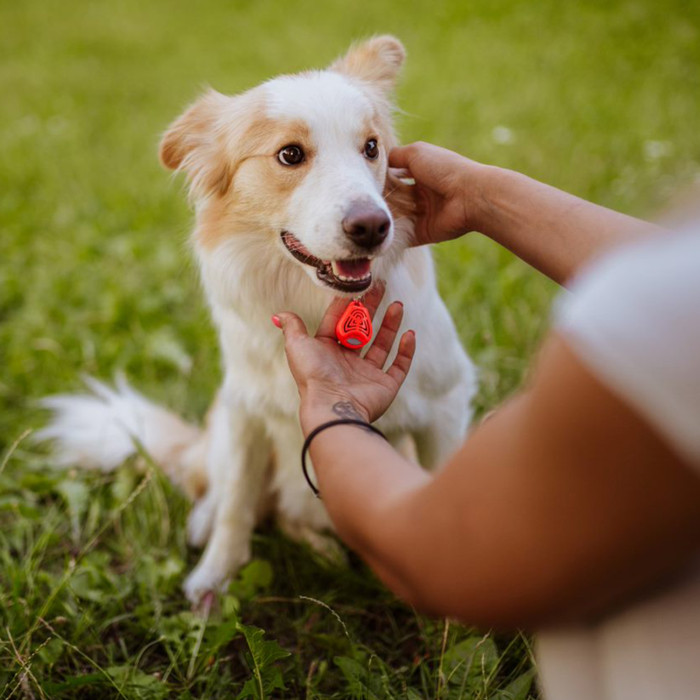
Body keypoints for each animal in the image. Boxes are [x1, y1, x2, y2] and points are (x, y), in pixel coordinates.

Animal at [38, 35, 476, 600]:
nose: (373, 226)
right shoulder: (246, 411)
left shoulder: (445, 406)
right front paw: (212, 581)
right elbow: (236, 507)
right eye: (290, 154)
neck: (314, 301)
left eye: (371, 147)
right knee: (224, 491)